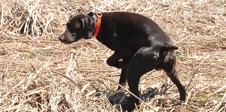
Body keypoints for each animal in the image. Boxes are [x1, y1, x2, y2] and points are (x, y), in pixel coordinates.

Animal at [57, 11, 185, 110]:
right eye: (66, 25)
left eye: (73, 27)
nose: (60, 38)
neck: (99, 23)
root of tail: (162, 47)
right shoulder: (127, 55)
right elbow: (122, 78)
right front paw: (119, 90)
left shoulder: (124, 51)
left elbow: (109, 61)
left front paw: (119, 65)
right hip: (171, 71)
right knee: (182, 87)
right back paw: (182, 102)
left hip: (134, 72)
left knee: (137, 98)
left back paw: (127, 107)